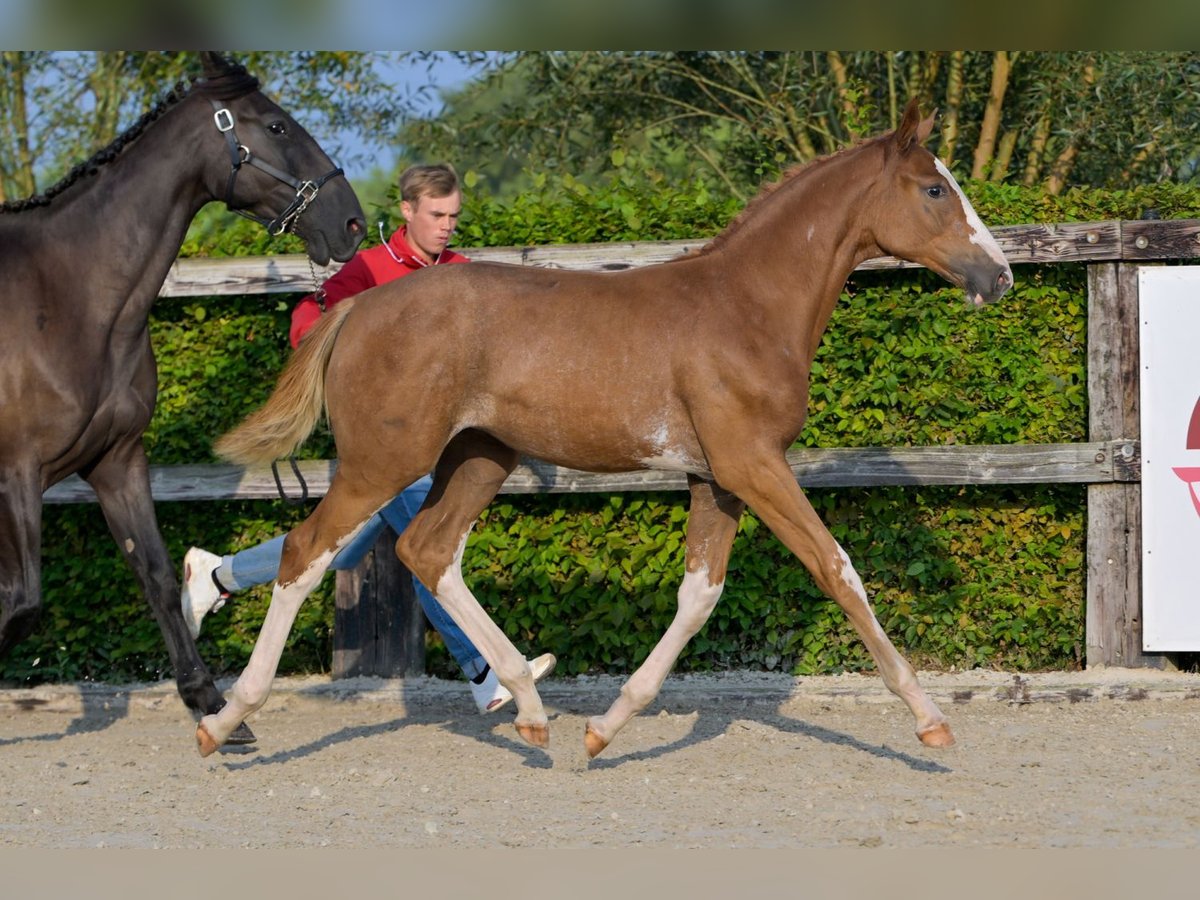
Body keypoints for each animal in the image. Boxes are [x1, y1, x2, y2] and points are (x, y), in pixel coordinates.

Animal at [0, 52, 364, 739]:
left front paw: (212, 704)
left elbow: (158, 577)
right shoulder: (16, 473)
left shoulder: (116, 460)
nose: (351, 221)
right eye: (276, 126)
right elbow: (23, 603)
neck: (68, 299)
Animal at [196, 100, 1012, 763]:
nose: (999, 276)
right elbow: (837, 569)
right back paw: (224, 719)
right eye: (935, 189)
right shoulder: (754, 465)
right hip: (383, 461)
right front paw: (931, 722)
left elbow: (699, 596)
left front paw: (604, 729)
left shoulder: (716, 477)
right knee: (306, 553)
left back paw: (529, 707)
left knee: (427, 551)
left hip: (478, 456)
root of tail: (356, 309)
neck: (747, 306)